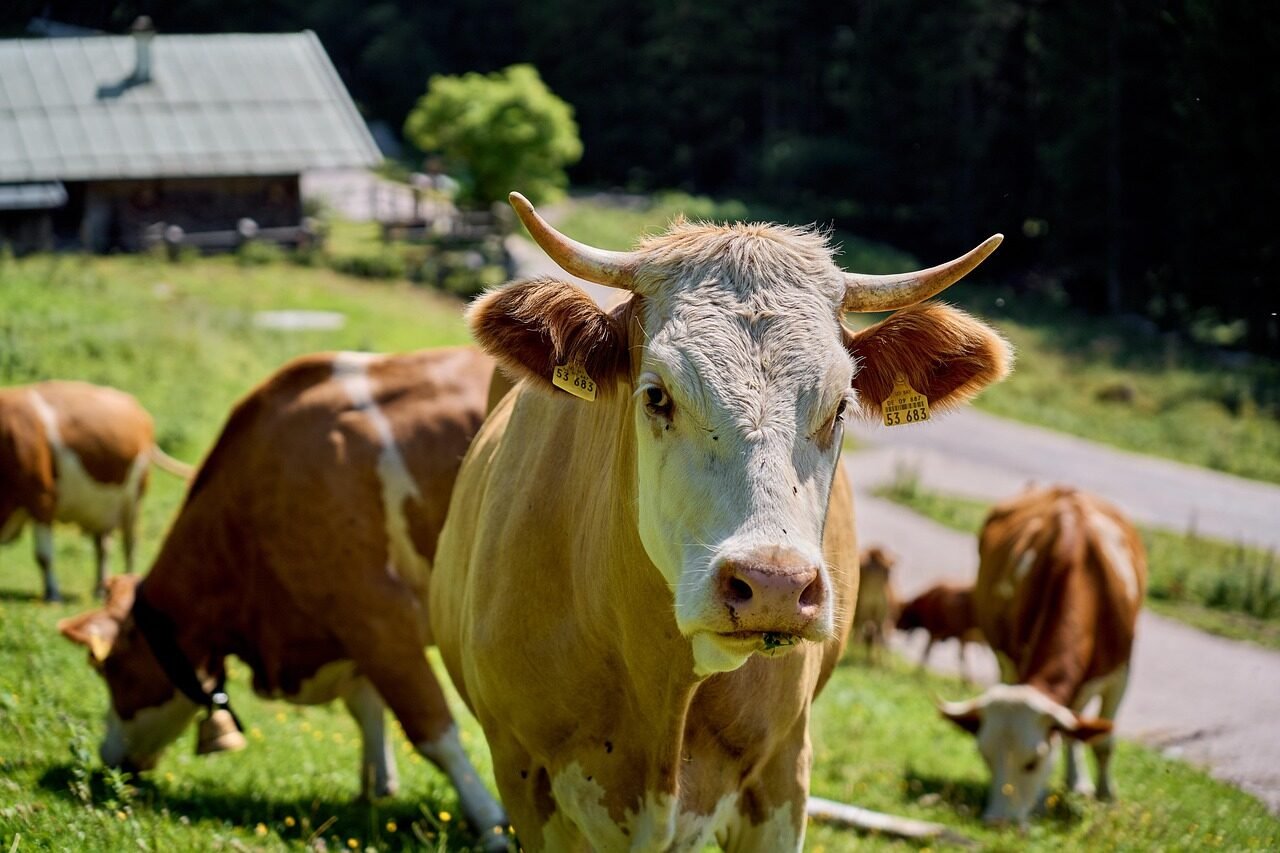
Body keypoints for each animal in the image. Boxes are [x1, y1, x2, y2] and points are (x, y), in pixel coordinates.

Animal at [0, 380, 192, 601]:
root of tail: (138, 411)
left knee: (129, 543)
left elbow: (43, 555)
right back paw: (101, 588)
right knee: (103, 546)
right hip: (101, 505)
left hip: (132, 500)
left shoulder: (41, 498)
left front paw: (52, 594)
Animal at [58, 347, 509, 844]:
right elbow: (365, 707)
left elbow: (433, 733)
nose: (107, 757)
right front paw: (376, 787)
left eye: (112, 669)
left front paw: (490, 823)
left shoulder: (379, 618)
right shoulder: (350, 632)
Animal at [939, 486, 1146, 824]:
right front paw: (1040, 801)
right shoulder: (1016, 659)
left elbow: (1102, 742)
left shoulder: (1120, 673)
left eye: (1033, 762)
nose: (998, 822)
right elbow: (1066, 733)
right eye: (985, 756)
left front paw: (1106, 797)